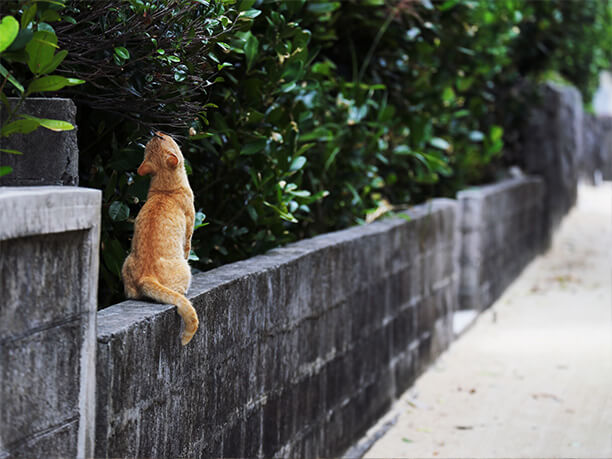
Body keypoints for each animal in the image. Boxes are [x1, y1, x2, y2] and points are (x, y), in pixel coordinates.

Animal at [123, 132, 200, 344]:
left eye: (160, 138)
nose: (156, 132)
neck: (166, 191)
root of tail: (146, 277)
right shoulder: (189, 232)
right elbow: (188, 248)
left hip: (126, 262)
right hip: (186, 268)